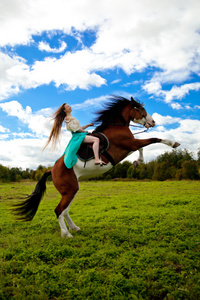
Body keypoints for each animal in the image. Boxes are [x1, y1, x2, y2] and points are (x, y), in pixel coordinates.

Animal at [13, 95, 180, 237]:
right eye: (141, 109)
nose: (152, 122)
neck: (116, 126)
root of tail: (51, 170)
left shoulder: (131, 145)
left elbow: (142, 148)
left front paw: (137, 162)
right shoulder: (130, 143)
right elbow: (154, 139)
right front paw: (173, 143)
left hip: (72, 190)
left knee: (65, 211)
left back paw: (74, 228)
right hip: (70, 190)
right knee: (59, 210)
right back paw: (66, 234)